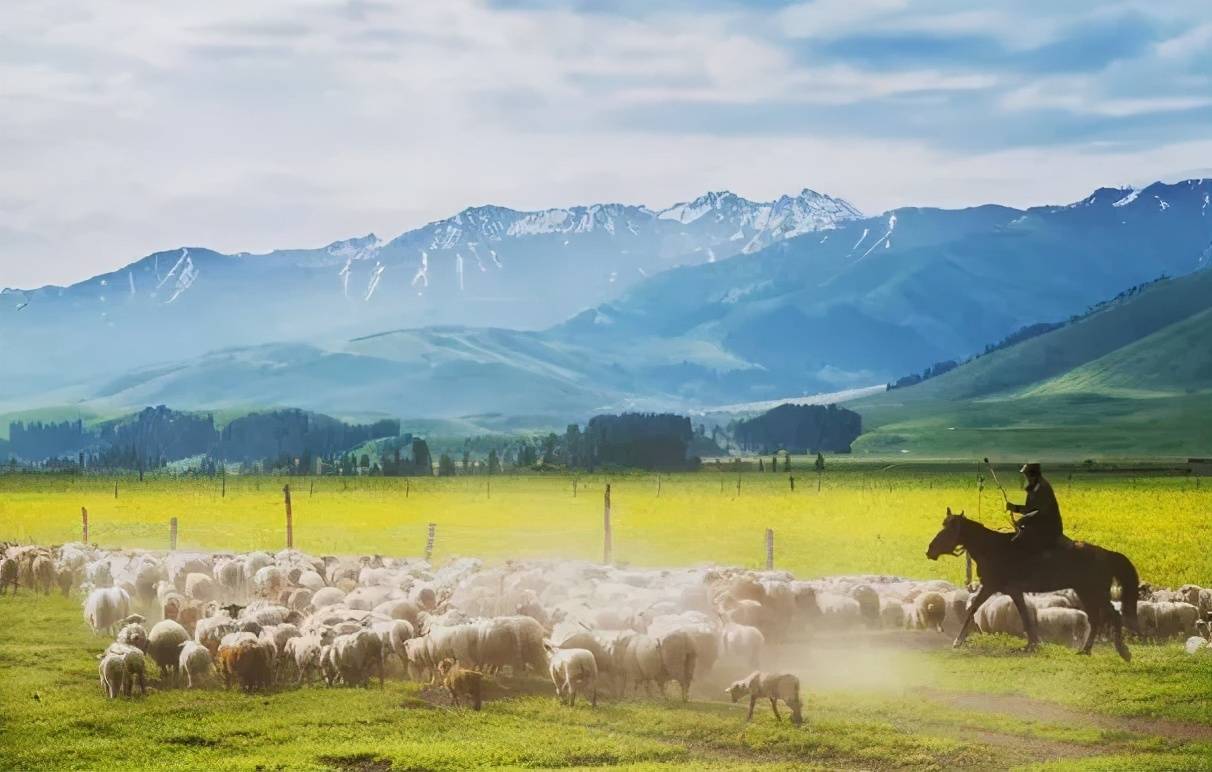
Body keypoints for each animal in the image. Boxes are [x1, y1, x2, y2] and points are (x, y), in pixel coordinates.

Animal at [921, 506, 1139, 664]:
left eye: (948, 530)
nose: (929, 550)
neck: (993, 548)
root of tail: (1106, 554)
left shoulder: (992, 586)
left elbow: (973, 608)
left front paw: (958, 641)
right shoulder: (1013, 591)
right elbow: (1025, 615)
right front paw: (1033, 644)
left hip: (1095, 592)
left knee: (1113, 615)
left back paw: (1123, 651)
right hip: (1085, 592)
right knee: (1096, 619)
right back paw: (1086, 651)